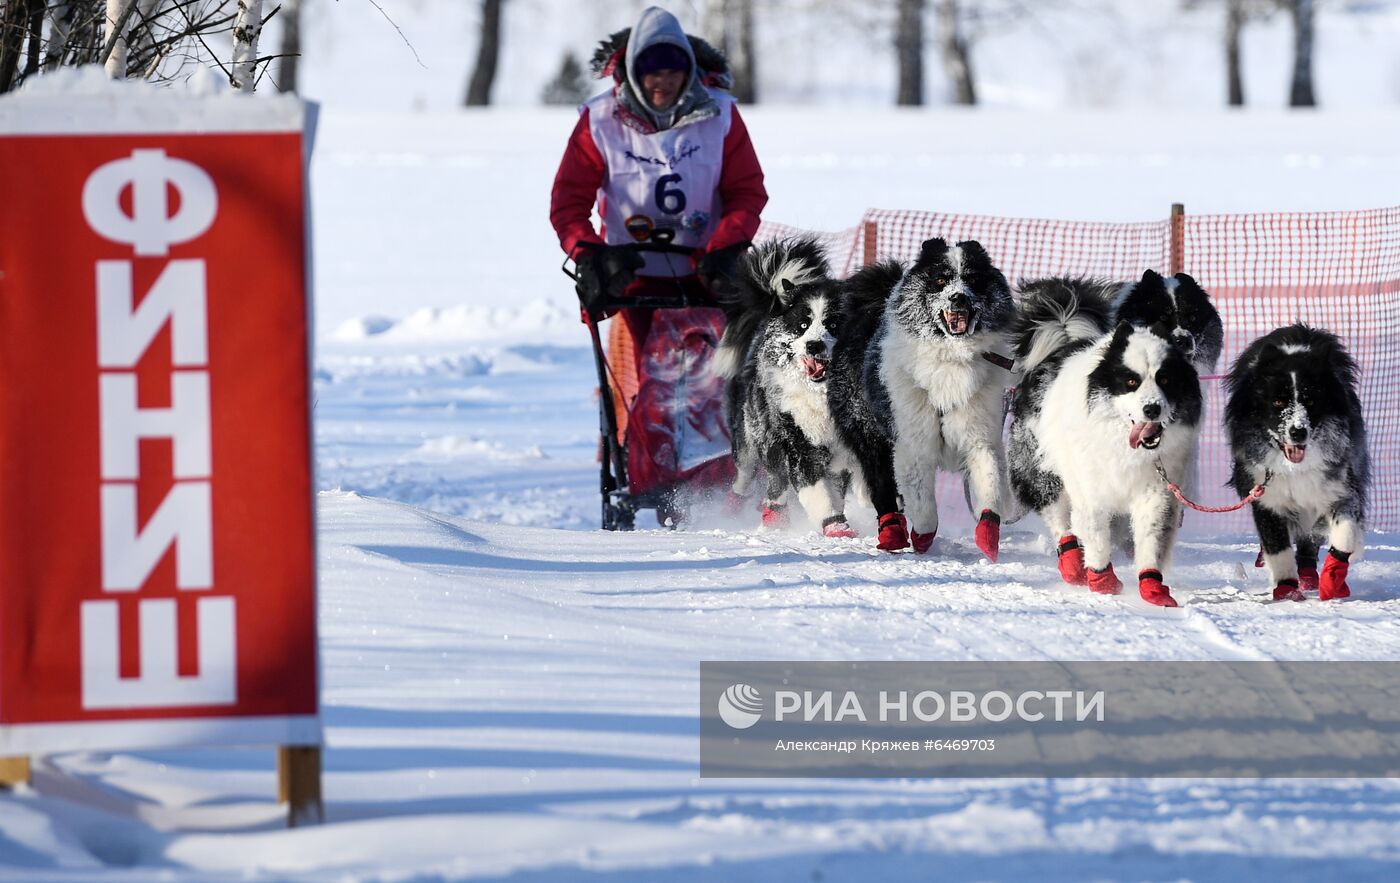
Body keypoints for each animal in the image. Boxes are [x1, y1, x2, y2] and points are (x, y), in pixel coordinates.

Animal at [716, 236, 856, 540]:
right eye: (803, 325)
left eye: (834, 323)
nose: (813, 345)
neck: (821, 395)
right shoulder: (799, 440)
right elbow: (816, 489)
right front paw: (834, 525)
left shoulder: (843, 450)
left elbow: (838, 489)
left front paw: (839, 522)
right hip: (752, 435)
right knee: (753, 477)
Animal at [828, 230, 1019, 556]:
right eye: (941, 280)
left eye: (972, 278)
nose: (958, 297)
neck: (952, 358)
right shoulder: (913, 443)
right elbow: (923, 504)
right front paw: (922, 537)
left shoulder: (979, 437)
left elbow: (990, 484)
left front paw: (988, 533)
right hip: (871, 436)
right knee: (882, 486)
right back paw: (892, 532)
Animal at [1008, 278, 1204, 607]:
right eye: (1131, 381)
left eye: (1165, 379)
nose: (1152, 409)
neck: (1124, 446)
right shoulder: (1091, 489)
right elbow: (1096, 535)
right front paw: (1102, 581)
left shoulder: (1157, 491)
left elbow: (1150, 538)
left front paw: (1152, 587)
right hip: (1043, 471)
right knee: (1059, 519)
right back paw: (1073, 566)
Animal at [1226, 324, 1366, 601]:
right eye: (1278, 401)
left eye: (1311, 400)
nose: (1298, 431)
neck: (1294, 467)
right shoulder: (1265, 495)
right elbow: (1277, 546)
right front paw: (1286, 589)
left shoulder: (1339, 485)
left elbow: (1345, 532)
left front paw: (1333, 576)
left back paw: (1311, 577)